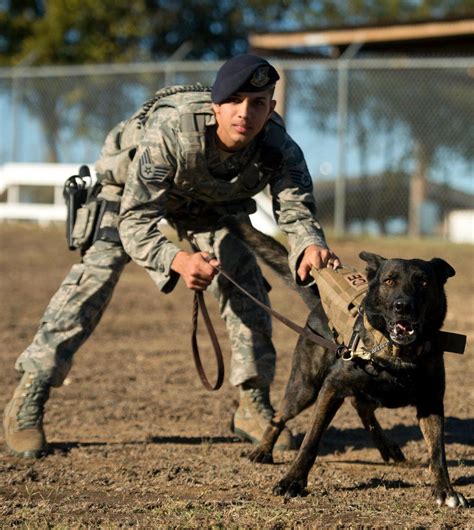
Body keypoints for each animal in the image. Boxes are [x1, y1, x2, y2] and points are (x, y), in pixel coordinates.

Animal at [225, 217, 466, 506]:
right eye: (389, 281)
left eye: (423, 282)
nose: (403, 306)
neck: (397, 354)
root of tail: (319, 305)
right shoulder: (331, 388)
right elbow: (310, 441)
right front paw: (292, 481)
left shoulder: (431, 402)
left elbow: (437, 452)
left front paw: (445, 490)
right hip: (305, 388)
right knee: (280, 416)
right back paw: (263, 450)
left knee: (361, 406)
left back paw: (387, 447)